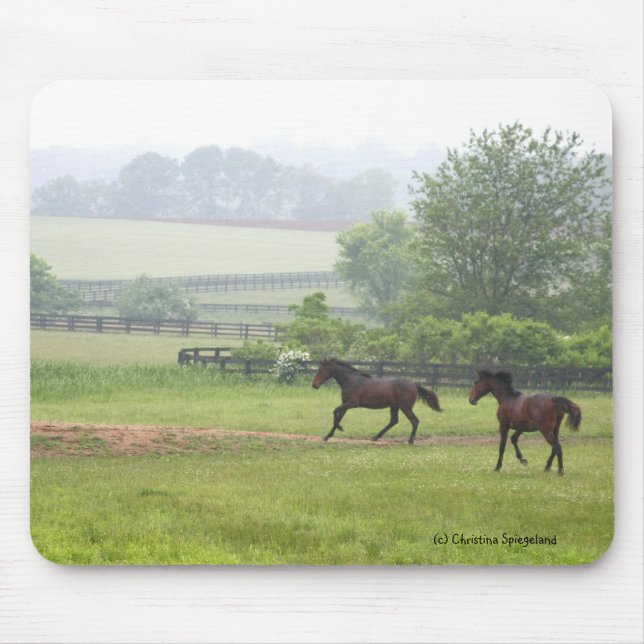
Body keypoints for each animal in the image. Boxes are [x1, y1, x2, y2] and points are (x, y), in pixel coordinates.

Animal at [311, 358, 442, 444]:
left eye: (321, 371)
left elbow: (334, 412)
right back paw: (375, 437)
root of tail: (414, 384)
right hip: (395, 406)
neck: (352, 381)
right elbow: (338, 417)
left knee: (415, 420)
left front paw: (338, 429)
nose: (314, 385)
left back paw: (410, 441)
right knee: (394, 421)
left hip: (405, 407)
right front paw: (328, 436)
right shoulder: (345, 403)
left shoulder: (352, 404)